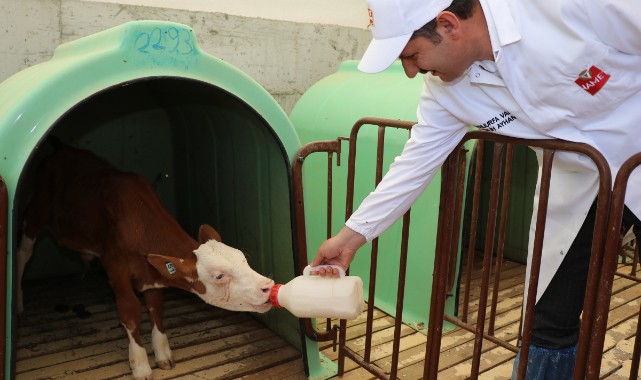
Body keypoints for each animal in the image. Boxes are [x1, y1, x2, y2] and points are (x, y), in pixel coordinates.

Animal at [17, 143, 272, 380]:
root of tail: (62, 148)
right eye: (219, 275)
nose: (268, 287)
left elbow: (156, 308)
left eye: (244, 260)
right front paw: (140, 365)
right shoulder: (116, 268)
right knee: (22, 255)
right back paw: (19, 304)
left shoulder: (152, 274)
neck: (140, 224)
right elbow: (130, 312)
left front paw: (162, 354)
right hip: (35, 214)